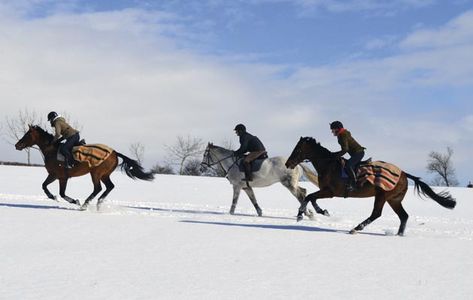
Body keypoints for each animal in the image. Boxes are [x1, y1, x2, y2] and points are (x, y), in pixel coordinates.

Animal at [15, 124, 153, 209]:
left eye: (27, 134)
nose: (17, 145)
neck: (52, 150)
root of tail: (114, 152)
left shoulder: (62, 177)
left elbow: (62, 193)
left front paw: (75, 201)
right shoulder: (53, 175)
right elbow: (44, 186)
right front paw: (53, 197)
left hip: (96, 173)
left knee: (98, 188)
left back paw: (85, 205)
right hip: (104, 174)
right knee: (109, 187)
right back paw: (98, 204)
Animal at [286, 137, 456, 236]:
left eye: (298, 149)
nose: (288, 163)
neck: (328, 165)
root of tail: (404, 174)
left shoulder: (331, 191)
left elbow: (309, 197)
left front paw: (301, 215)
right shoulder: (326, 191)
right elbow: (312, 198)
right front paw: (322, 211)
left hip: (382, 196)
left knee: (376, 213)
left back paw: (355, 229)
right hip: (394, 199)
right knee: (403, 216)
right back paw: (398, 235)